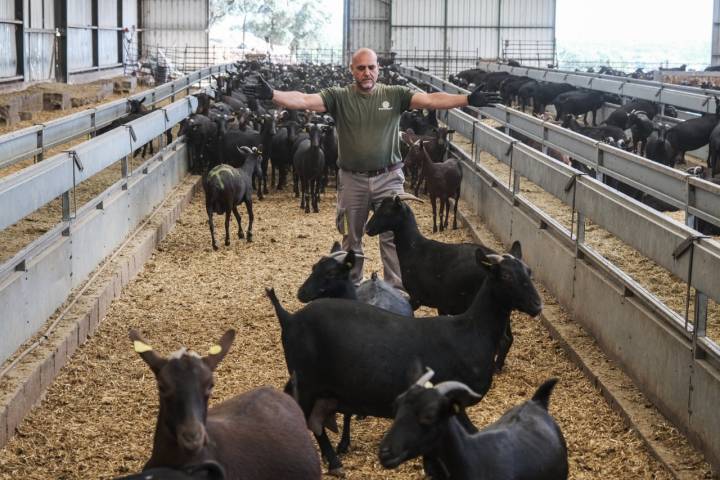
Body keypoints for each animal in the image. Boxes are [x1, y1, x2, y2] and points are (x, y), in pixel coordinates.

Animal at [268, 242, 544, 474]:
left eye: (529, 272)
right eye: (506, 276)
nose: (537, 305)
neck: (472, 330)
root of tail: (289, 319)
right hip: (308, 382)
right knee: (310, 420)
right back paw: (334, 462)